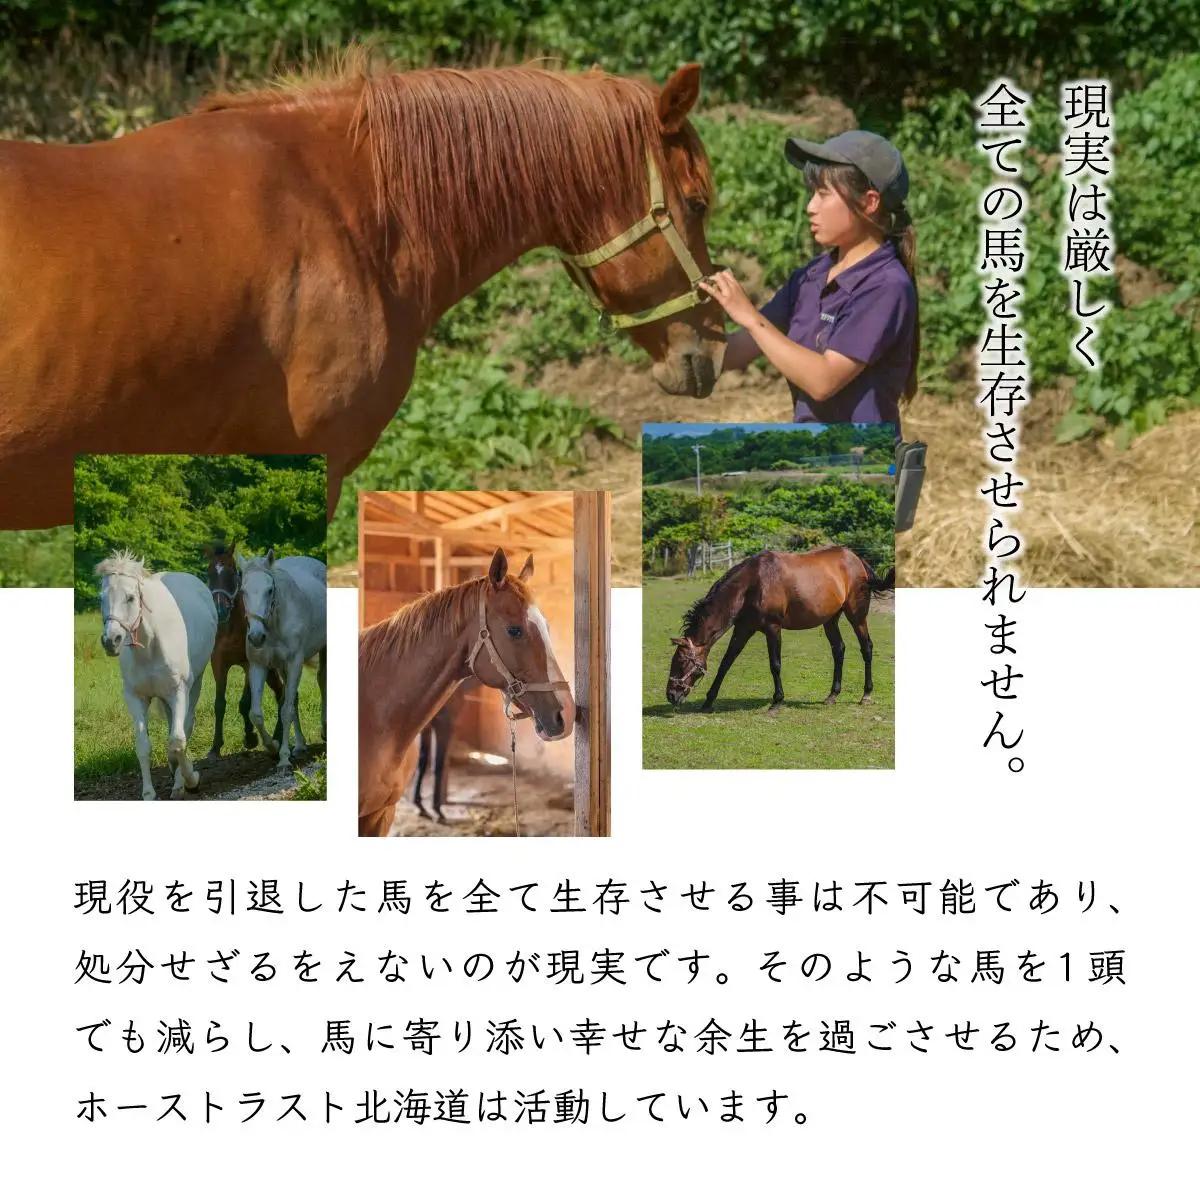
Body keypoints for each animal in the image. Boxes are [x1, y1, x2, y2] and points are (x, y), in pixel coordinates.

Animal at [94, 550, 218, 800]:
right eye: (101, 598)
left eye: (131, 597)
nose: (111, 641)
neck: (150, 647)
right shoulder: (136, 697)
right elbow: (143, 746)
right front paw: (149, 793)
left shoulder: (179, 692)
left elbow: (178, 741)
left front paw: (190, 780)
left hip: (194, 686)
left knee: (186, 727)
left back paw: (180, 780)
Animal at [203, 540, 291, 759]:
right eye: (209, 572)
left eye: (232, 572)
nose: (220, 610)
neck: (231, 628)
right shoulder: (218, 663)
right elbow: (219, 704)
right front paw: (215, 747)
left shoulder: (249, 664)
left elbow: (244, 703)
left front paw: (250, 738)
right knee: (280, 694)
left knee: (283, 696)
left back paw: (277, 739)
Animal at [238, 551, 327, 771]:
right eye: (243, 591)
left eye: (269, 590)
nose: (256, 637)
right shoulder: (259, 666)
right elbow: (257, 714)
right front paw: (273, 747)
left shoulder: (295, 663)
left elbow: (285, 710)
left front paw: (284, 757)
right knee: (293, 697)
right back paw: (300, 746)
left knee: (322, 680)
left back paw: (325, 730)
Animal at [358, 548, 575, 836]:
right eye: (514, 630)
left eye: (547, 628)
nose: (568, 713)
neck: (376, 712)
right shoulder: (442, 724)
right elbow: (437, 762)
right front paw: (433, 808)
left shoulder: (380, 815)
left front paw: (426, 806)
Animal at [665, 546, 894, 712]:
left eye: (681, 662)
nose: (671, 695)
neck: (752, 585)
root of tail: (857, 559)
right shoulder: (743, 629)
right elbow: (726, 663)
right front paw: (708, 701)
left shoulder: (773, 628)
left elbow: (775, 664)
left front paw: (777, 701)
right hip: (830, 620)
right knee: (838, 650)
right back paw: (832, 695)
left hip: (857, 616)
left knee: (866, 648)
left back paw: (866, 695)